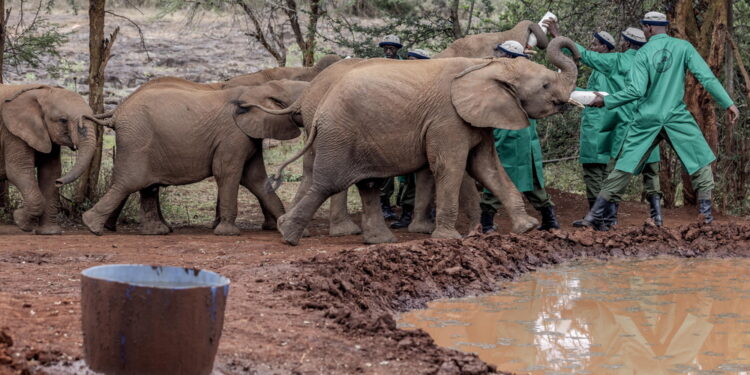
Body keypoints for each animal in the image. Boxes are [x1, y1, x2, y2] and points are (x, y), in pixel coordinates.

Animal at [0, 84, 98, 235]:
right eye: (63, 120)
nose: (59, 182)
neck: (42, 92)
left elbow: (50, 172)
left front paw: (49, 233)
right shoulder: (12, 132)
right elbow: (19, 171)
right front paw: (20, 221)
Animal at [84, 79, 312, 236]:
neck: (259, 88)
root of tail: (117, 111)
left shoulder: (248, 136)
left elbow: (255, 179)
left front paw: (291, 230)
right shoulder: (232, 135)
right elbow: (227, 173)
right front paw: (228, 233)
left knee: (146, 185)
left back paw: (156, 232)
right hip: (137, 140)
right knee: (130, 181)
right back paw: (92, 227)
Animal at [264, 36, 580, 245]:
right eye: (545, 85)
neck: (485, 67)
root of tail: (316, 107)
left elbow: (487, 168)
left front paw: (526, 228)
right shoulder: (447, 119)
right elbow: (450, 167)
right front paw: (448, 238)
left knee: (367, 185)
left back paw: (379, 241)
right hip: (340, 133)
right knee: (328, 183)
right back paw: (290, 235)